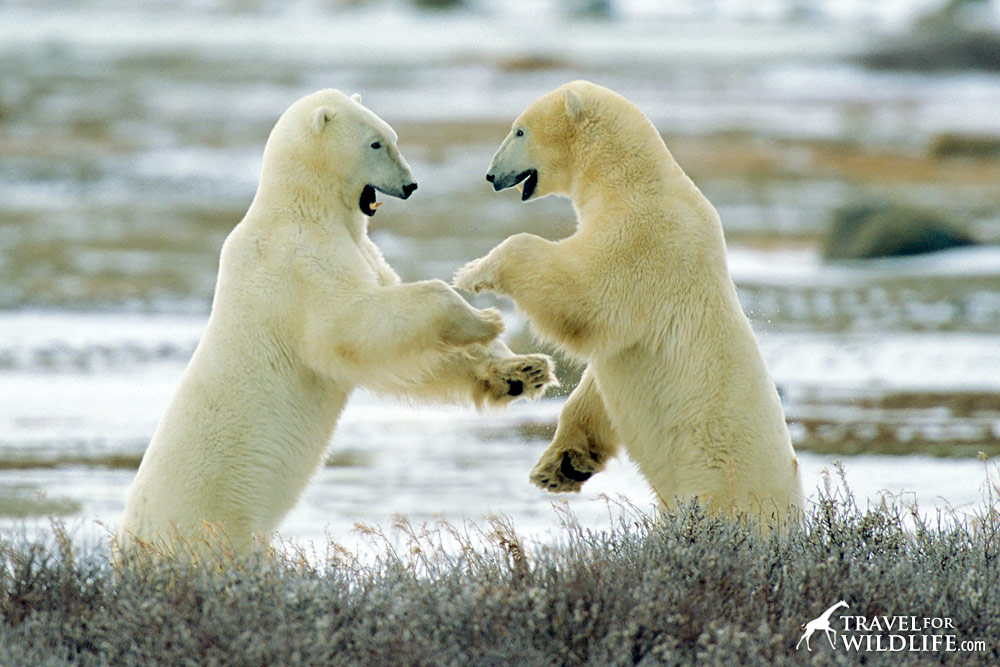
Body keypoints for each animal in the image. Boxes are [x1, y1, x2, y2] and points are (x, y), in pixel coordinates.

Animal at [118, 90, 560, 560]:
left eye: (392, 136)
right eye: (375, 143)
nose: (411, 186)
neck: (302, 208)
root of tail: (128, 546)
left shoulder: (360, 251)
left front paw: (524, 370)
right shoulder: (300, 263)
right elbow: (351, 326)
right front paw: (484, 319)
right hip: (207, 520)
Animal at [458, 79, 808, 528]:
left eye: (519, 130)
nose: (491, 175)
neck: (633, 181)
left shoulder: (644, 239)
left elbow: (585, 294)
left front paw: (473, 272)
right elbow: (599, 382)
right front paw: (561, 467)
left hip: (718, 483)